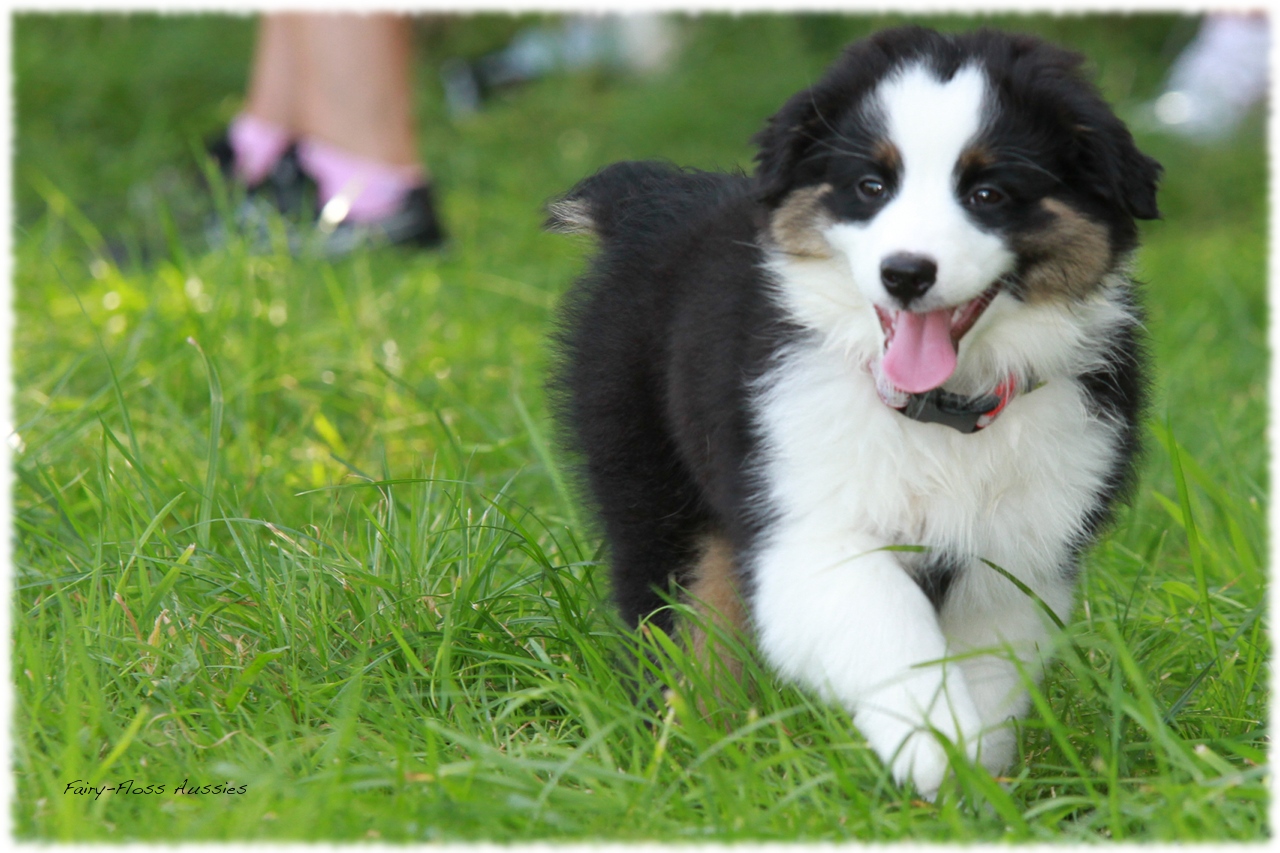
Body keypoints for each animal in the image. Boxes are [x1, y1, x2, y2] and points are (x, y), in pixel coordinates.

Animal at [547, 26, 1162, 799]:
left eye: (988, 193)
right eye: (873, 187)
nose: (905, 274)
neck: (941, 413)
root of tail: (655, 199)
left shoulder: (1016, 553)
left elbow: (985, 670)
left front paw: (975, 783)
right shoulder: (809, 528)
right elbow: (889, 627)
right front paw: (936, 748)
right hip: (650, 472)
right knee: (684, 624)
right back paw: (695, 758)